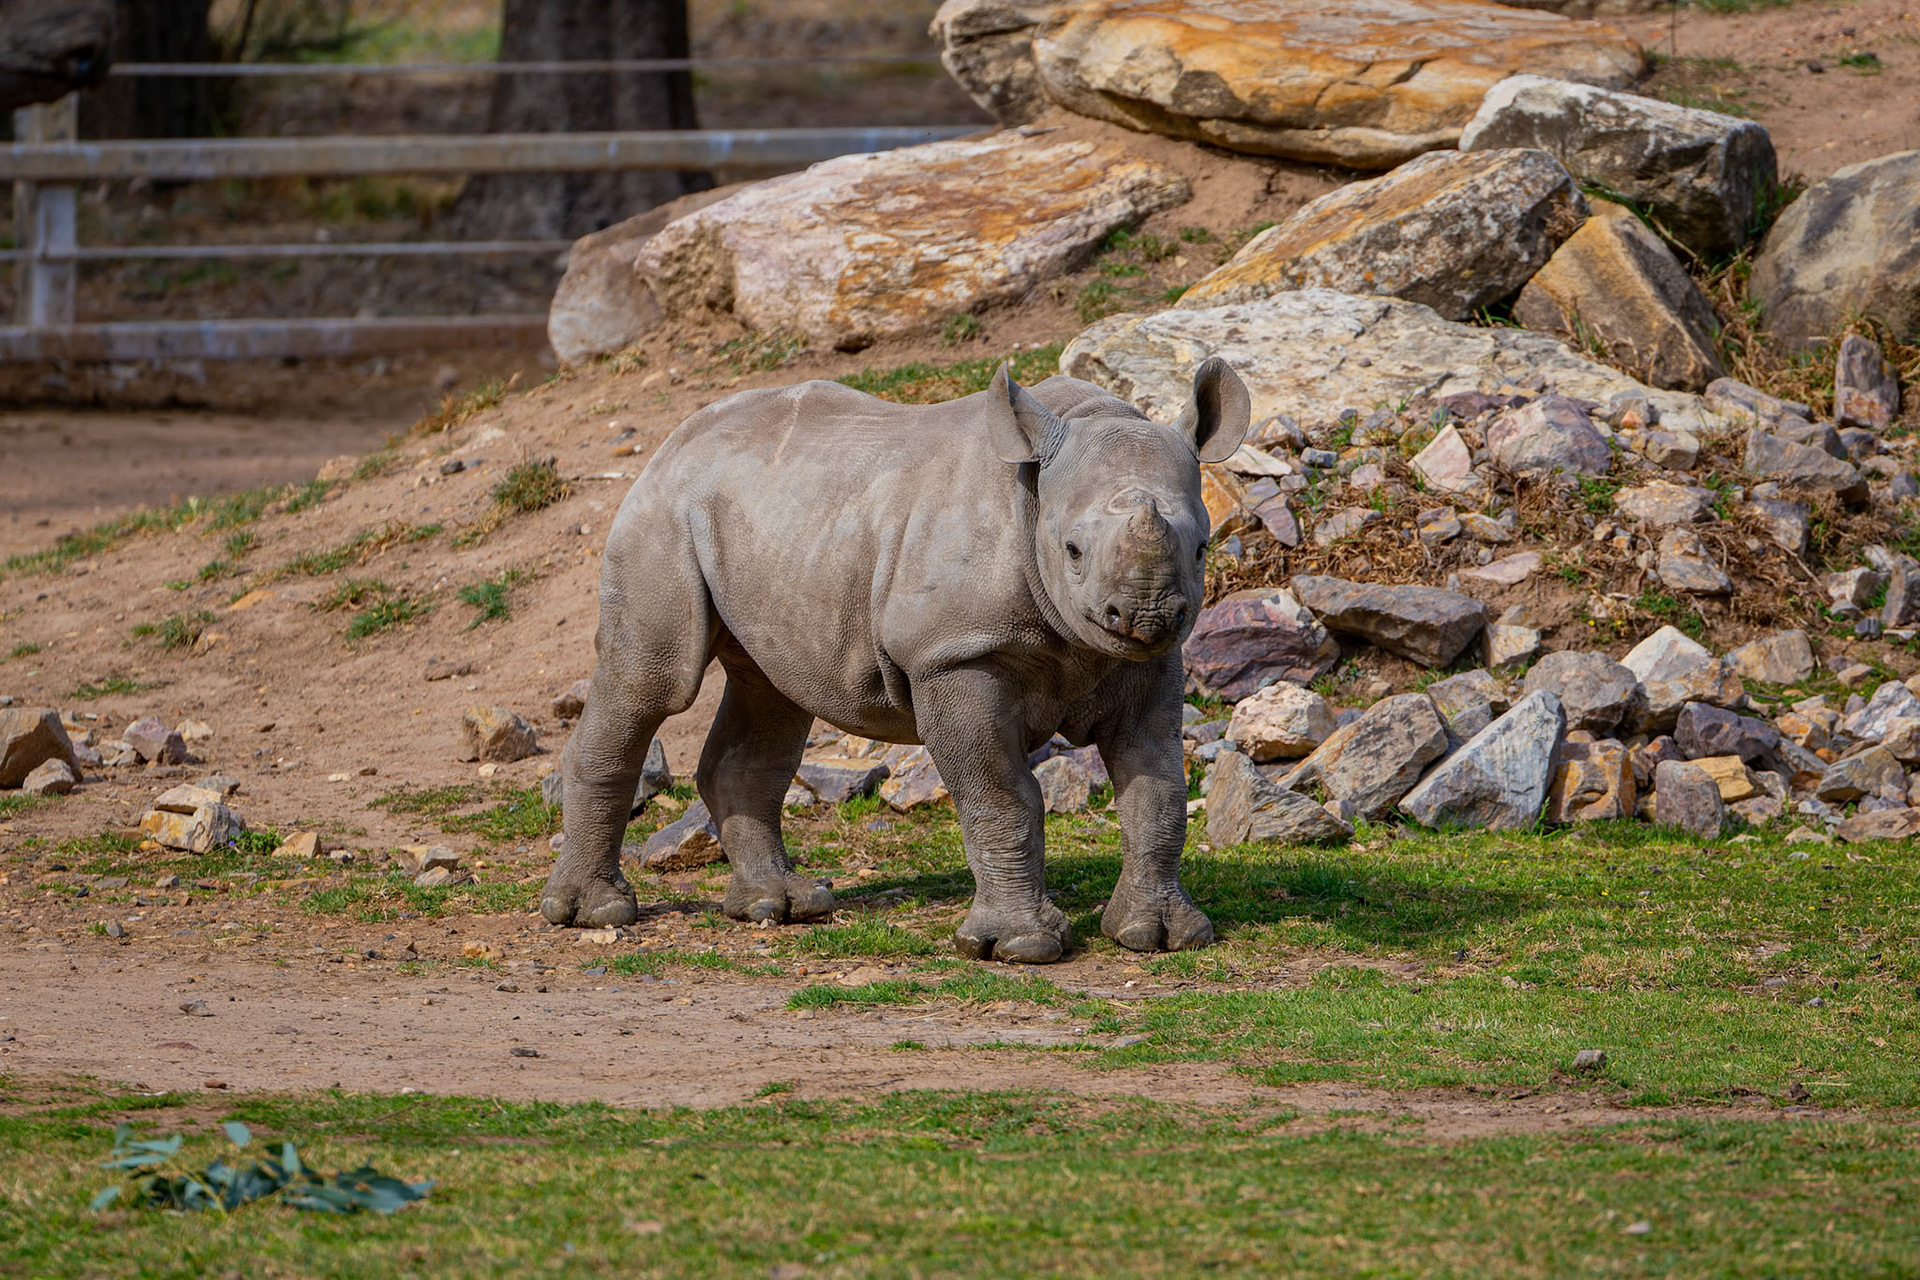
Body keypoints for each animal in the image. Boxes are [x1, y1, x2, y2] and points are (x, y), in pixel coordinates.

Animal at [542, 358, 1250, 962]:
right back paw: (592, 914)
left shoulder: (1149, 664)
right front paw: (1020, 948)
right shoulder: (954, 656)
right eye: (1073, 551)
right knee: (654, 681)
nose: (1146, 616)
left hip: (778, 527)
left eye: (1202, 547)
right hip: (662, 514)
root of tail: (673, 442)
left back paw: (781, 908)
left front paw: (1161, 936)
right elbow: (1003, 796)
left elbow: (1156, 789)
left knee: (768, 689)